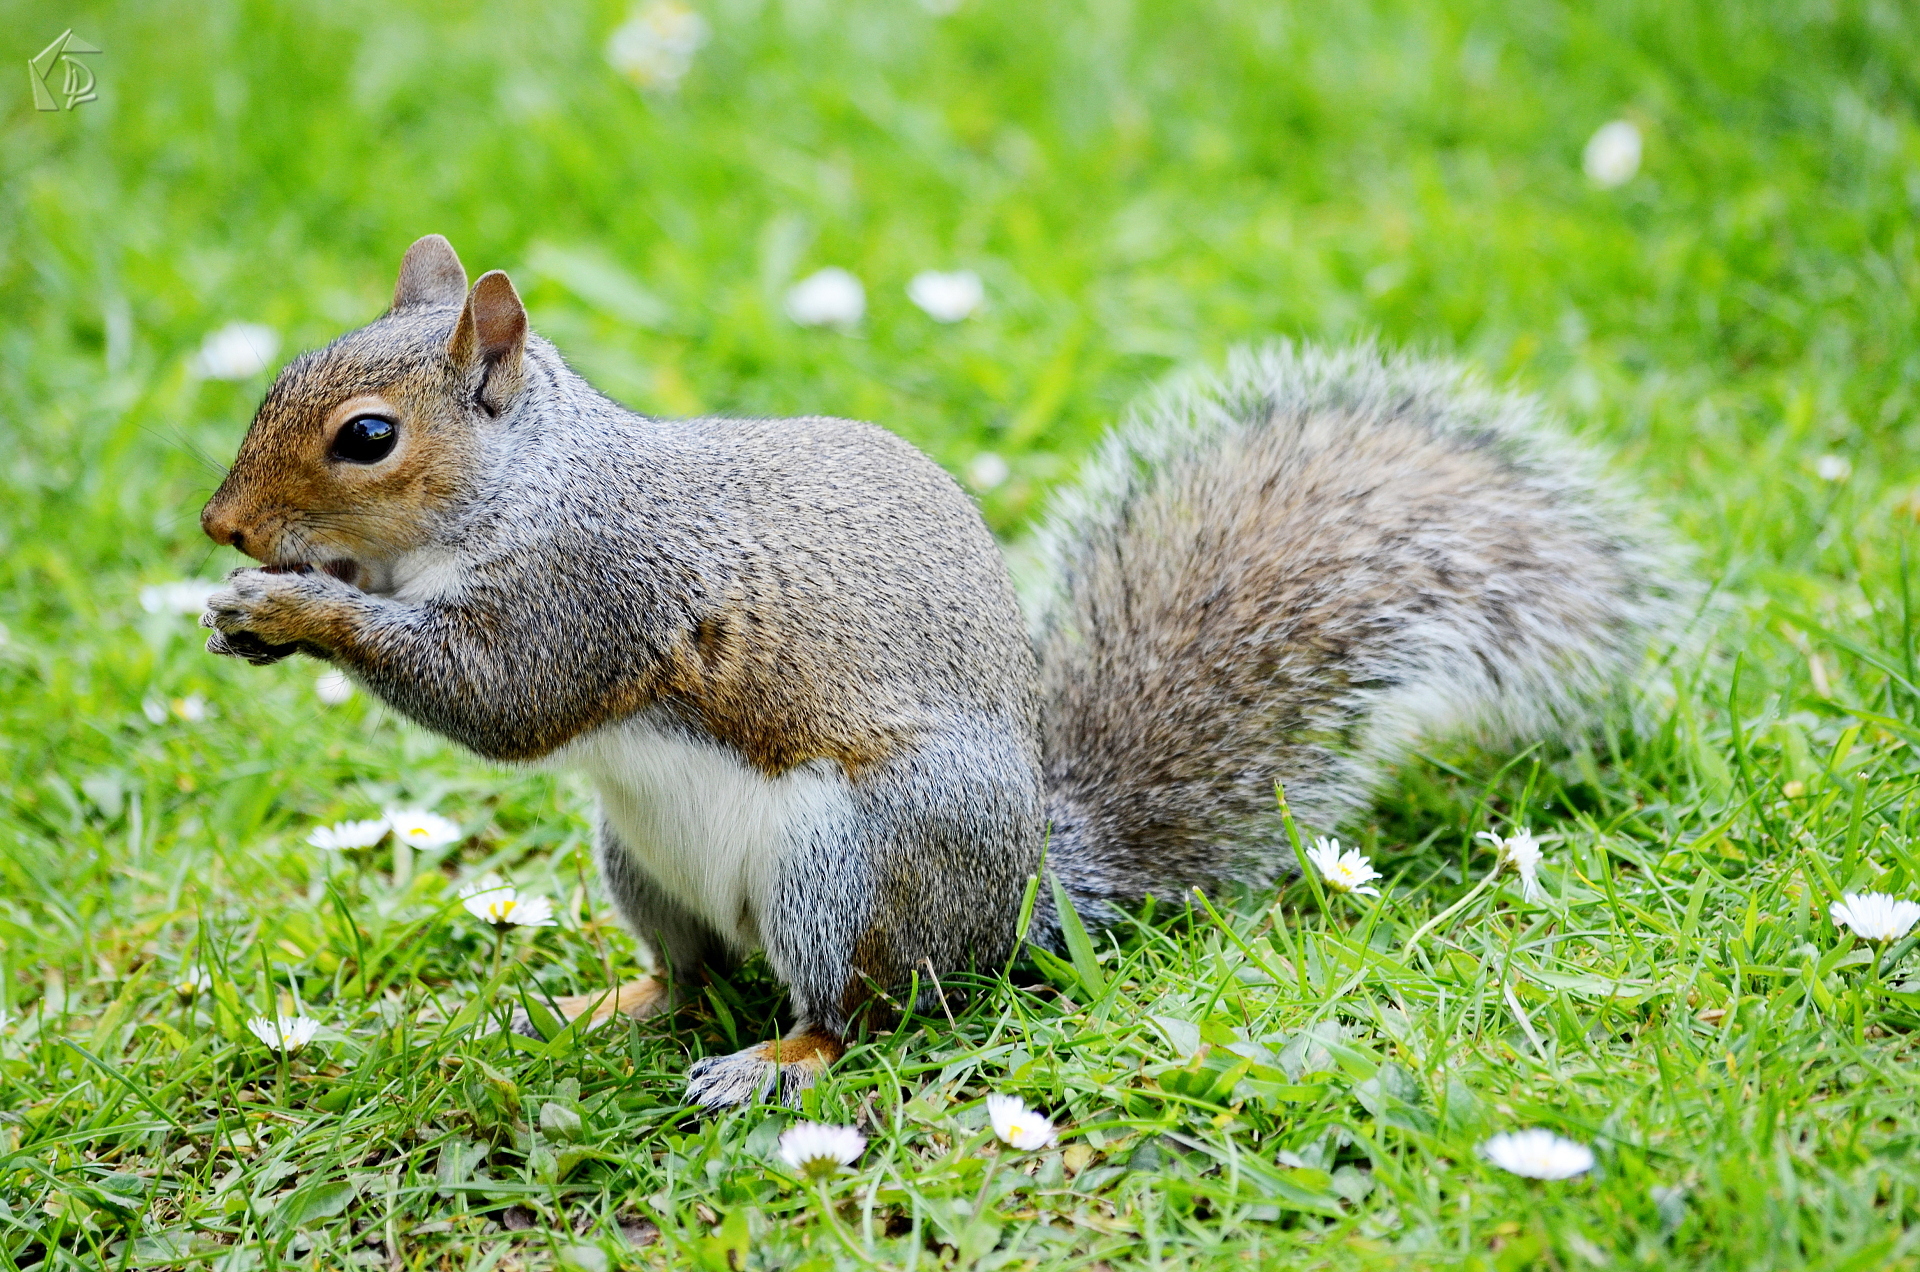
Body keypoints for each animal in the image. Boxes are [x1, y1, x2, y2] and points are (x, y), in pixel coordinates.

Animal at [199, 234, 1684, 1107]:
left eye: (369, 437)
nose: (222, 526)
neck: (533, 485)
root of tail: (1023, 894)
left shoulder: (596, 593)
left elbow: (503, 703)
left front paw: (298, 608)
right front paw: (246, 612)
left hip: (849, 868)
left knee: (860, 1010)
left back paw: (771, 1061)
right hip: (643, 861)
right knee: (689, 977)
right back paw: (601, 1001)